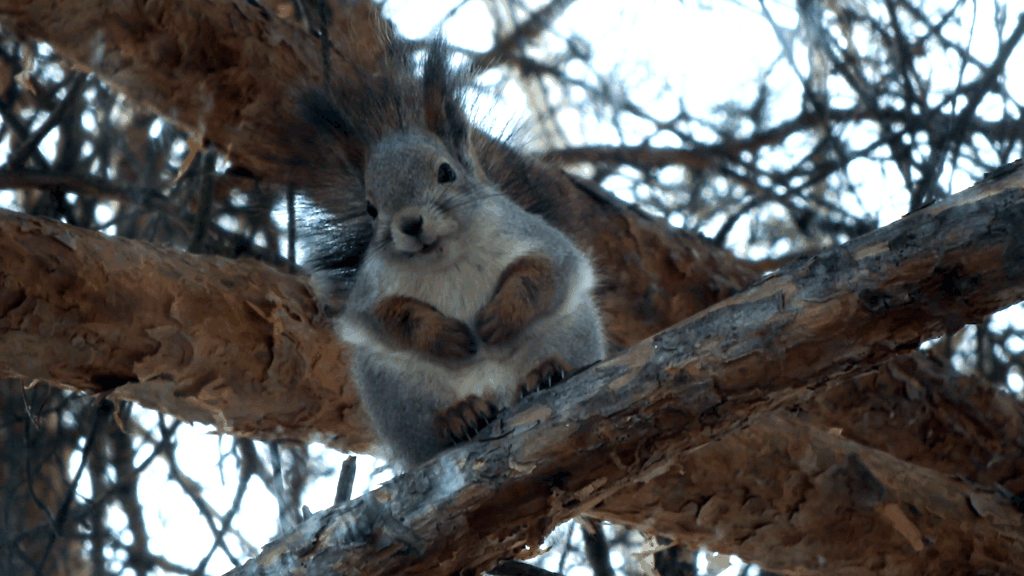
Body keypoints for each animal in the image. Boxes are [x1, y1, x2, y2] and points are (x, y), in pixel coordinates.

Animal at [296, 40, 602, 463]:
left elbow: (543, 273)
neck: (447, 257)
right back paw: (458, 416)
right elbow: (389, 316)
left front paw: (499, 316)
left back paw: (546, 372)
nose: (410, 223)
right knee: (428, 430)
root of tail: (497, 392)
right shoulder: (370, 293)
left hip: (566, 330)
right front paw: (445, 335)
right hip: (397, 389)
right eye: (371, 208)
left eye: (446, 172)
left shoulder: (541, 240)